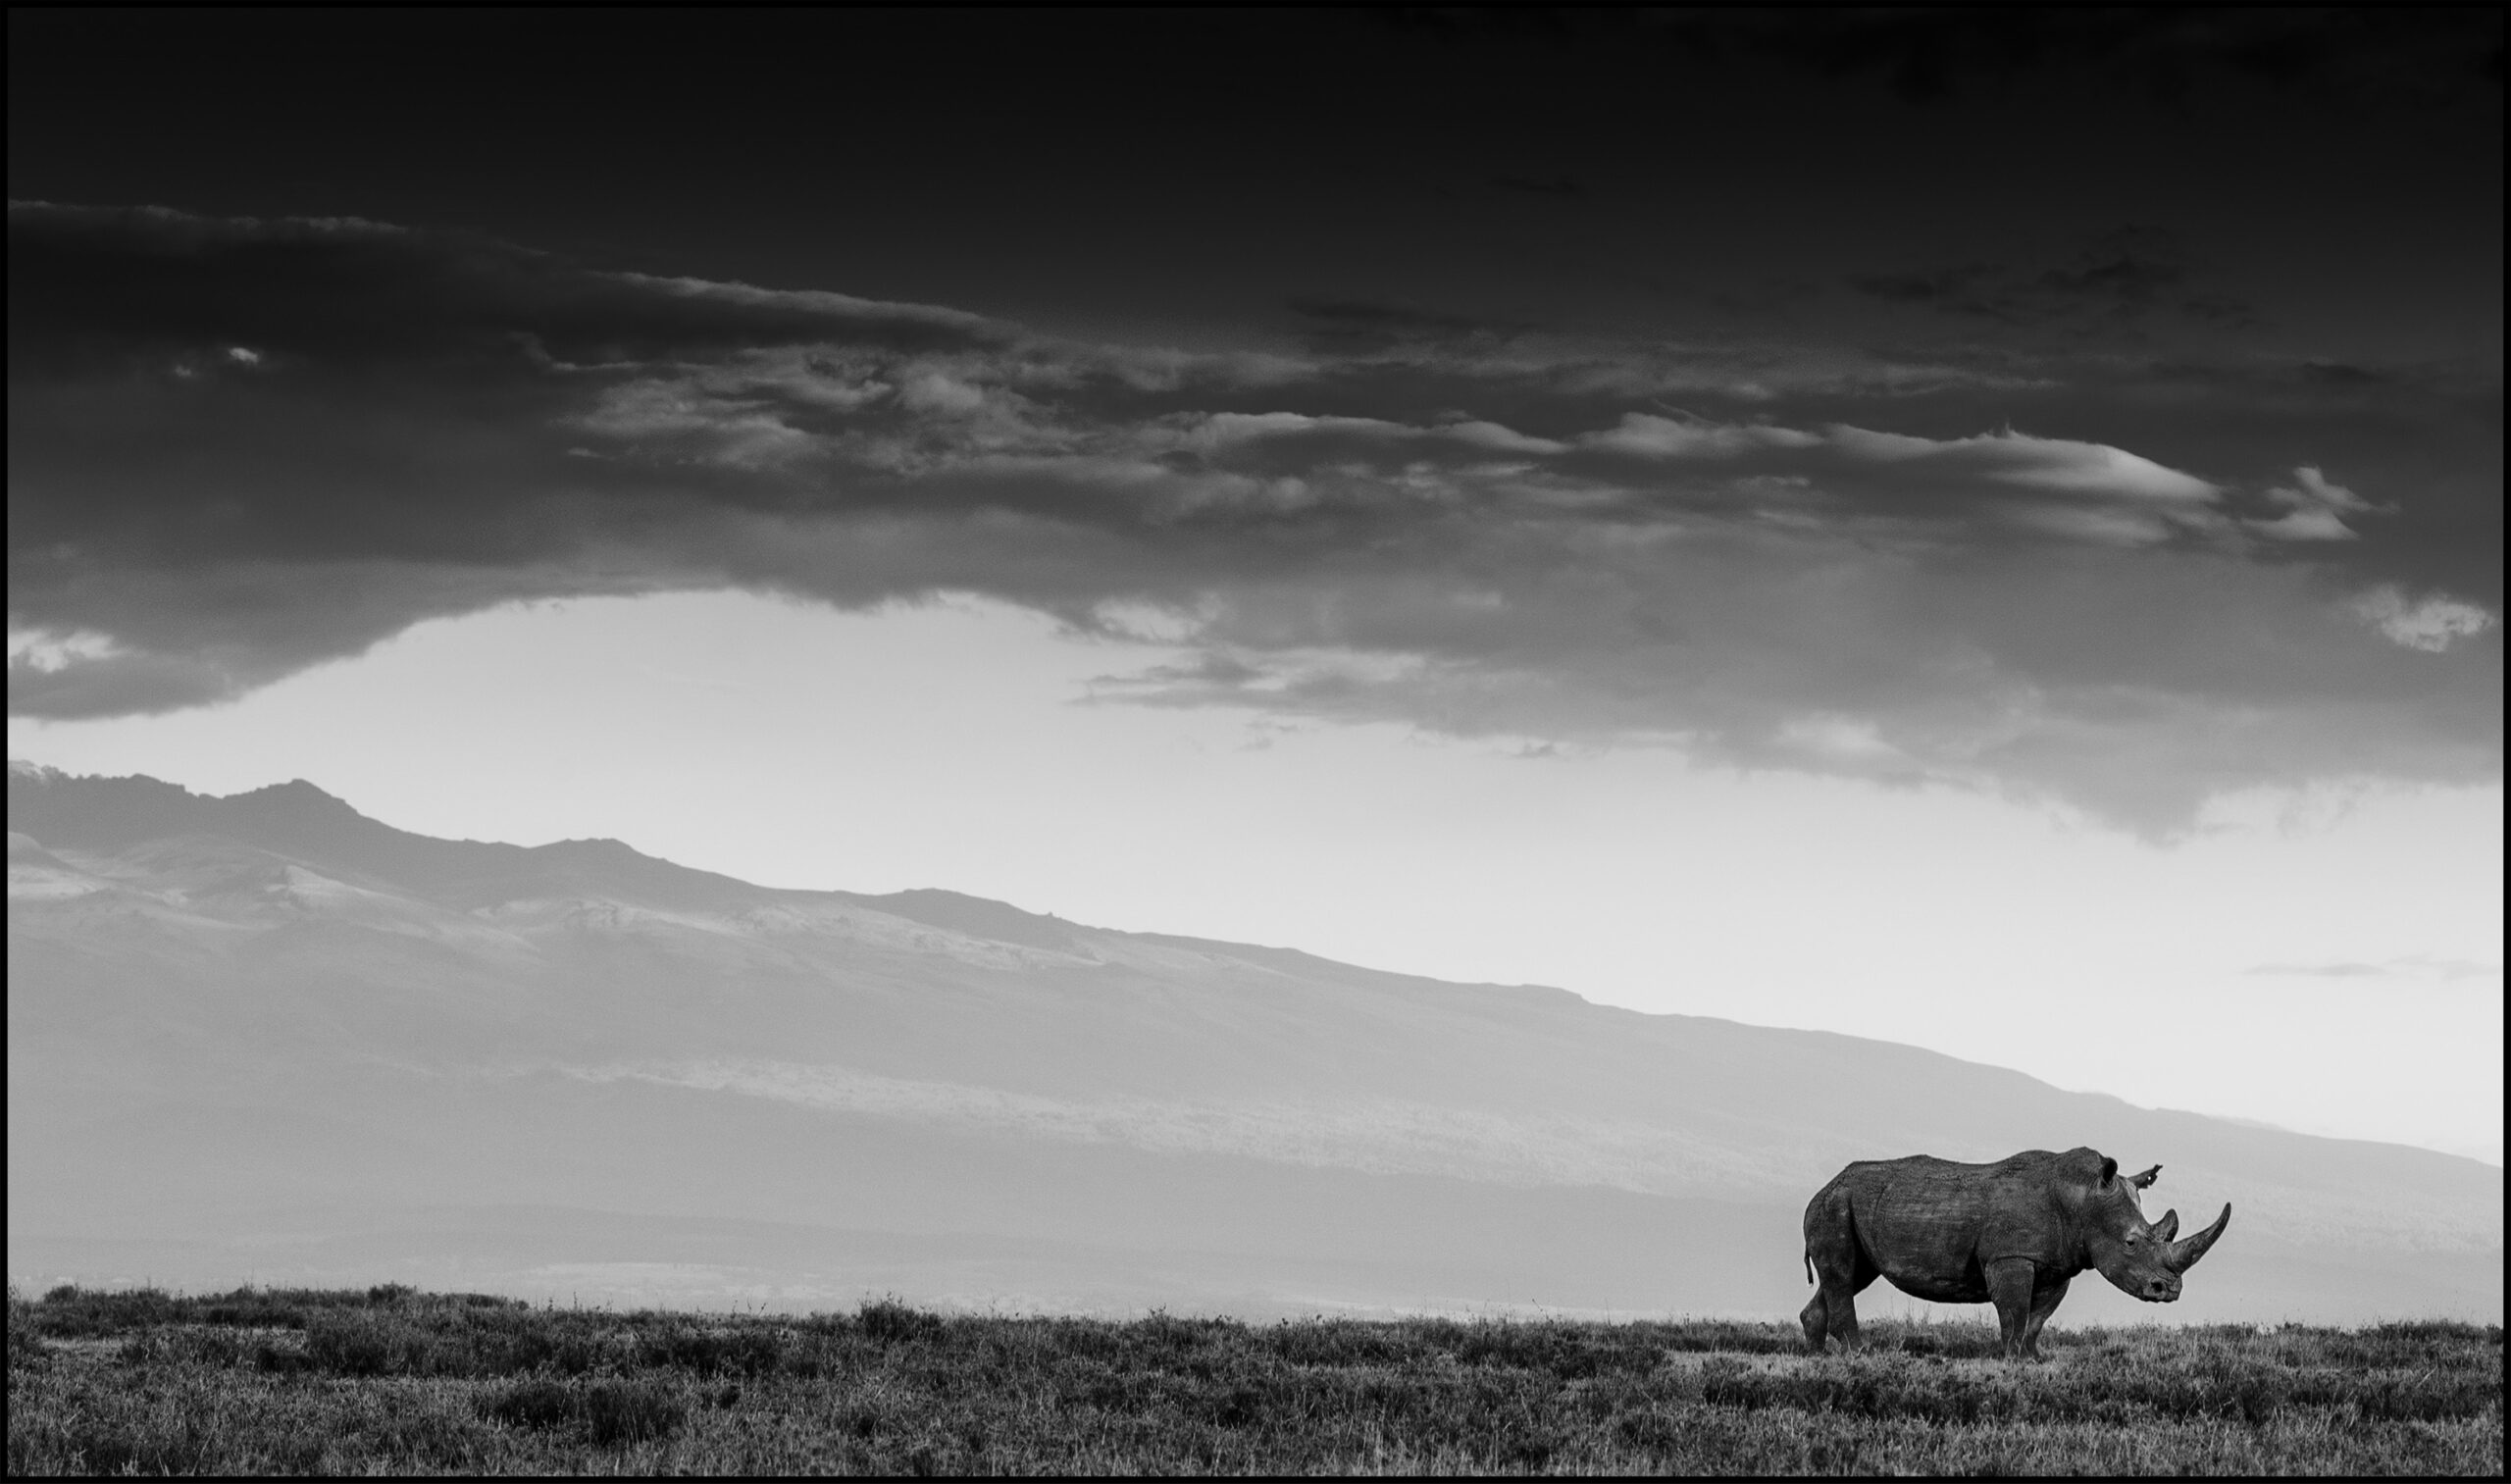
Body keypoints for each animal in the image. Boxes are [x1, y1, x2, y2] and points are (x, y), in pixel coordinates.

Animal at [1800, 1146, 2230, 1360]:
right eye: (2131, 1243)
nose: (2169, 1290)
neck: (2082, 1197)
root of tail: (1824, 1186)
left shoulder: (2058, 1263)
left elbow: (2038, 1316)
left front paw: (2033, 1358)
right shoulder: (2010, 1256)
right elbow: (2015, 1309)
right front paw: (2010, 1359)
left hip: (1847, 1204)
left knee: (1851, 1275)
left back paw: (1819, 1356)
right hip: (1835, 1205)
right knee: (1842, 1274)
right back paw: (1859, 1354)